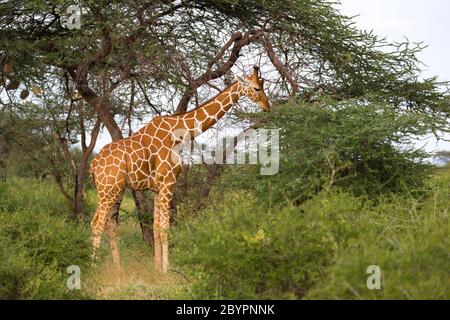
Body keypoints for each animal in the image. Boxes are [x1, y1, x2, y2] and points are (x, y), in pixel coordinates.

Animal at [89, 67, 268, 272]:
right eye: (256, 88)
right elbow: (165, 227)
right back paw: (93, 267)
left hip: (115, 190)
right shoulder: (168, 182)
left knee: (110, 224)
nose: (267, 106)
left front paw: (157, 268)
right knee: (96, 223)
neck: (179, 132)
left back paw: (118, 269)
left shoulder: (157, 188)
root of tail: (93, 166)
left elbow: (156, 227)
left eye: (263, 85)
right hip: (107, 190)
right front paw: (167, 269)